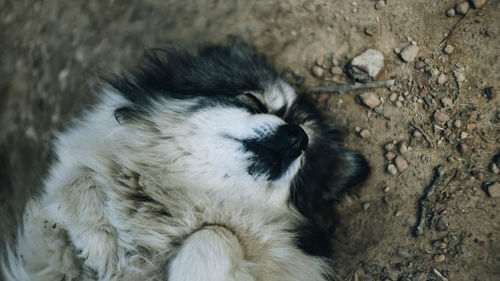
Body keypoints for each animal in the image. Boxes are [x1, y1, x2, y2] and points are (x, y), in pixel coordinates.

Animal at [1, 44, 370, 280]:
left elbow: (213, 235)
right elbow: (80, 179)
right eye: (252, 100)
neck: (185, 198)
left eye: (307, 159)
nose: (298, 137)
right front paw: (100, 238)